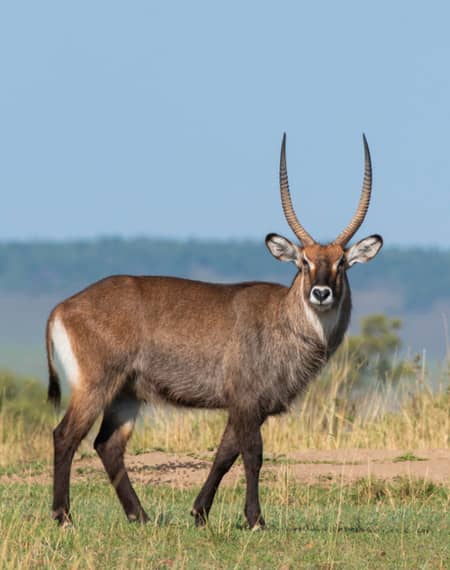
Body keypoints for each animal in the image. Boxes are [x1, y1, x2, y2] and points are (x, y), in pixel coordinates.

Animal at [46, 133, 384, 528]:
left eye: (342, 263)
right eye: (304, 262)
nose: (321, 293)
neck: (283, 319)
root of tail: (63, 306)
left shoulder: (248, 405)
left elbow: (225, 454)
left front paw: (199, 513)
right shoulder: (246, 400)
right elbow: (253, 454)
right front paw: (255, 519)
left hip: (127, 393)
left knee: (107, 445)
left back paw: (140, 516)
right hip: (95, 386)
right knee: (65, 435)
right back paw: (64, 517)